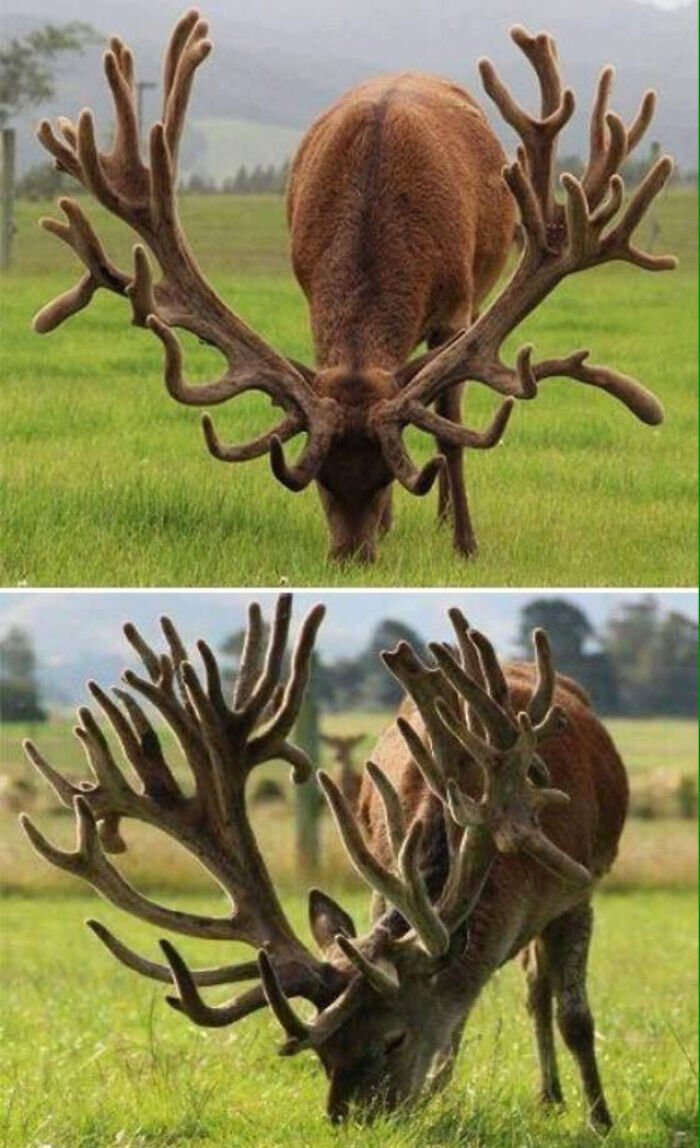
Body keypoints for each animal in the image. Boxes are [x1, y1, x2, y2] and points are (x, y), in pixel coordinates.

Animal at [20, 601, 628, 1129]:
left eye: (393, 1038)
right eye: (324, 1053)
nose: (351, 1119)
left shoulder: (577, 887)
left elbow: (576, 1017)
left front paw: (601, 1119)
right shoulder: (385, 882)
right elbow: (456, 1023)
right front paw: (440, 1095)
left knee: (539, 989)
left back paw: (555, 1097)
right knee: (527, 989)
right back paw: (541, 1096)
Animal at [34, 11, 674, 562]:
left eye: (389, 478)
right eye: (318, 482)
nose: (350, 556)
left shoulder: (458, 307)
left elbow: (450, 431)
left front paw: (465, 543)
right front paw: (395, 530)